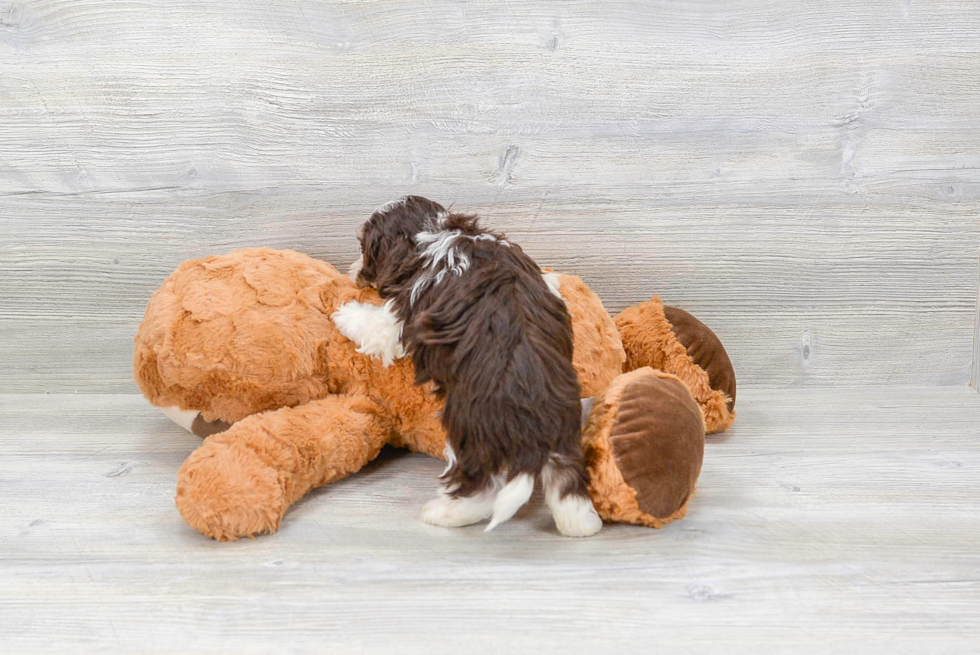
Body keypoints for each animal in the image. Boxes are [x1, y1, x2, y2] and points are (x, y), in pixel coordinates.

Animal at [334, 196, 600, 540]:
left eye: (365, 248)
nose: (353, 269)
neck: (436, 233)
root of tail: (532, 426)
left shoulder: (404, 313)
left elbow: (376, 325)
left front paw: (345, 315)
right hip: (566, 437)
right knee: (567, 484)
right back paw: (581, 526)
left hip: (470, 435)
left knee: (480, 488)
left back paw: (443, 514)